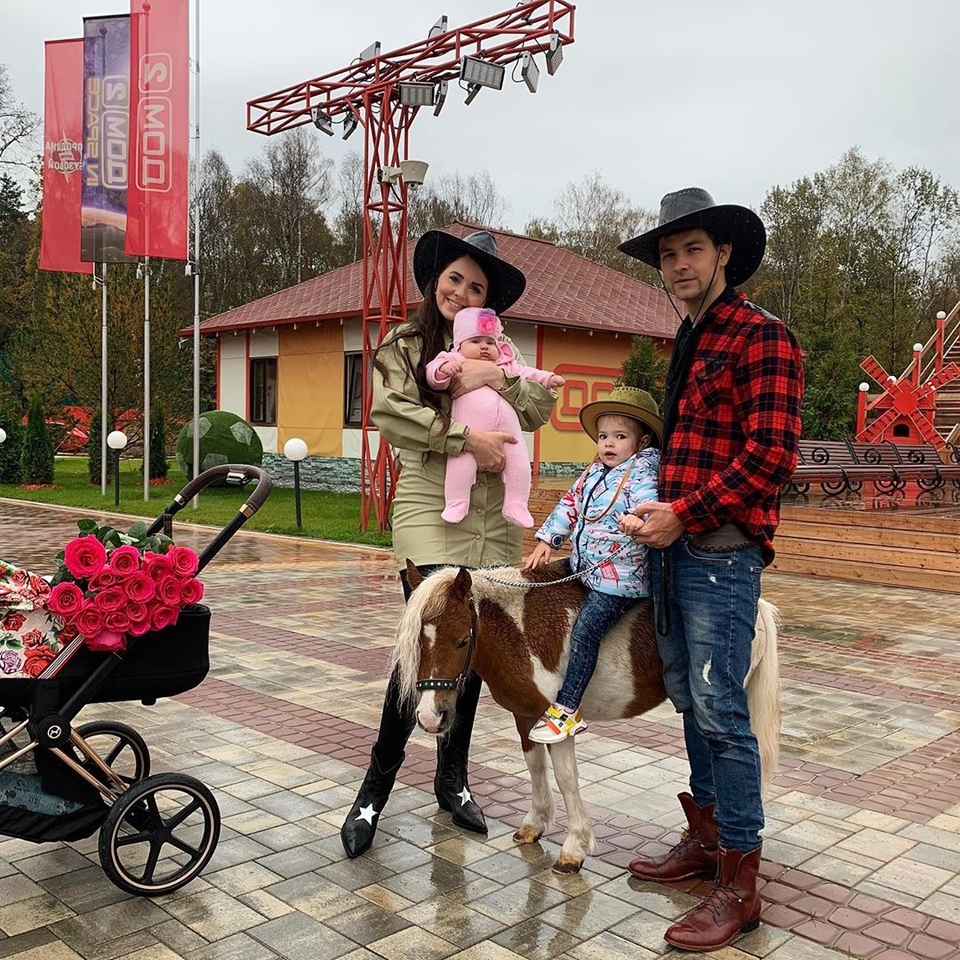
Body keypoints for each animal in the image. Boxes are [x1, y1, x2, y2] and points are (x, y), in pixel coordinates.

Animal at [392, 560, 780, 872]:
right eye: (417, 642)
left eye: (461, 640)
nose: (430, 716)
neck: (519, 628)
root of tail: (757, 608)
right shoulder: (525, 715)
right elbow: (535, 768)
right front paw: (534, 825)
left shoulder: (557, 723)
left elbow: (566, 779)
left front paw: (574, 849)